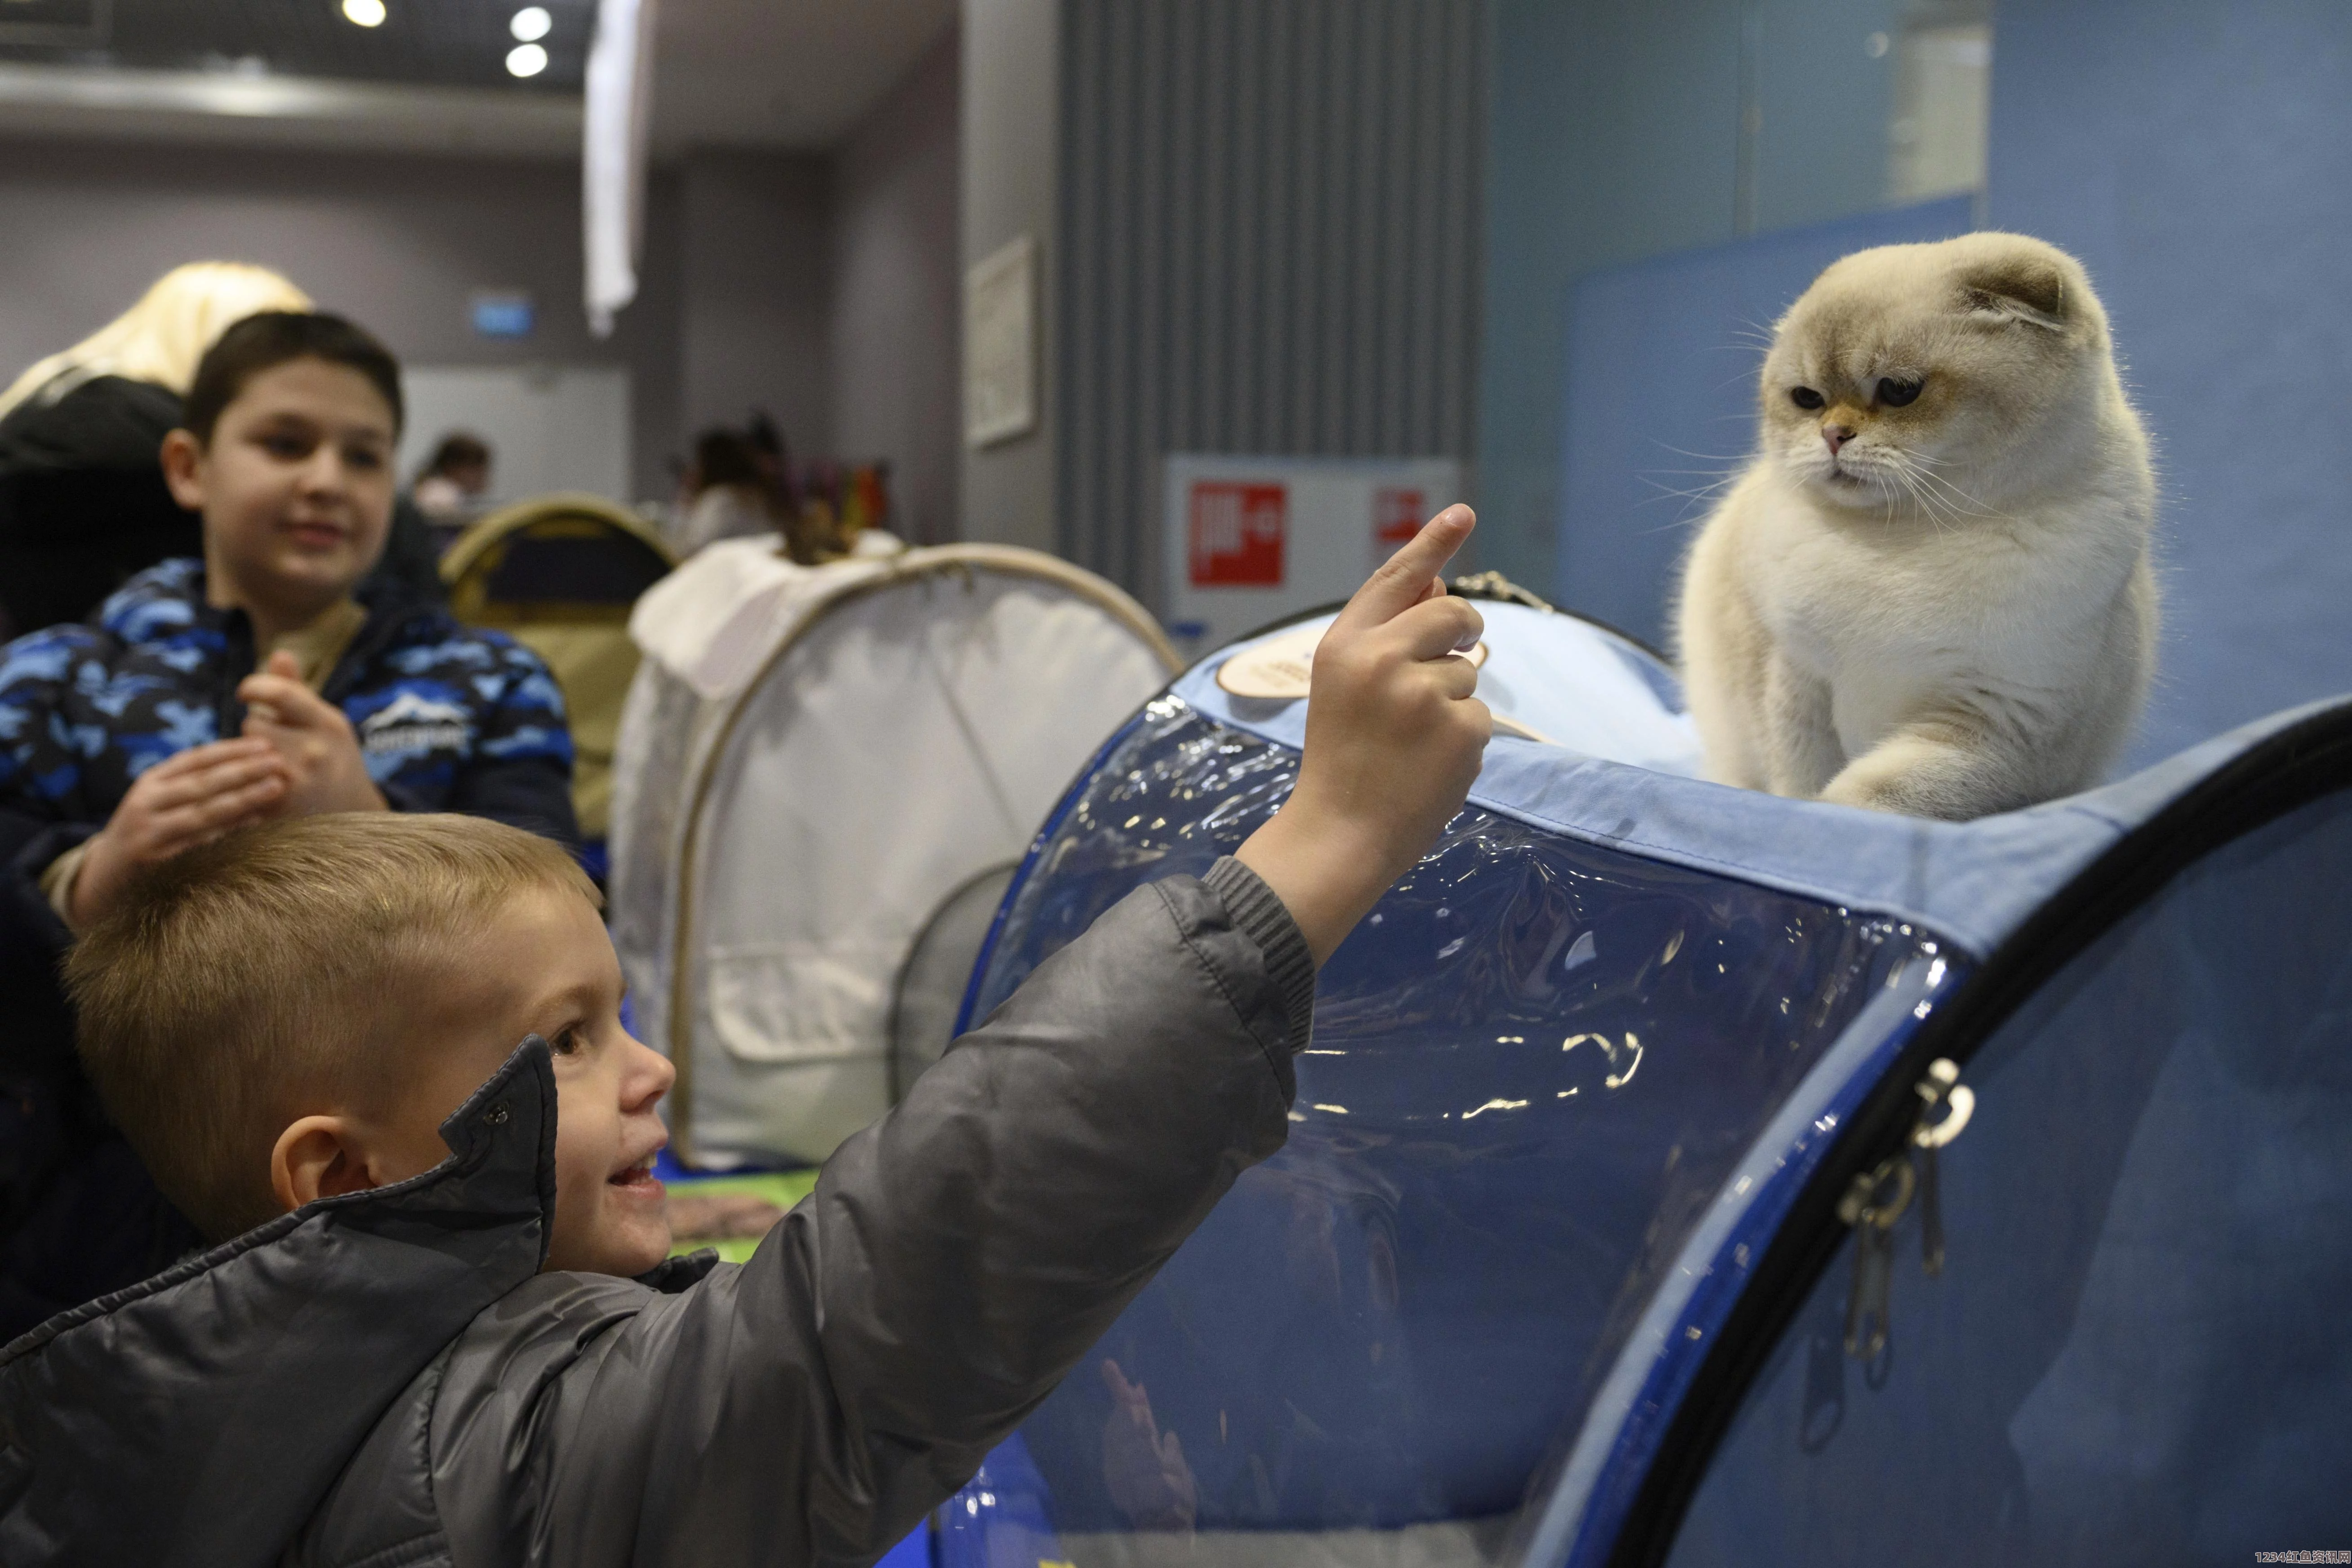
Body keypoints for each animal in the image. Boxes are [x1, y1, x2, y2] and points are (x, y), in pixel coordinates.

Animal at [1684, 232, 2154, 822]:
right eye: (1808, 399)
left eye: (1900, 391)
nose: (1832, 435)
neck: (1902, 538)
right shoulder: (1796, 681)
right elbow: (1801, 785)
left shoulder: (1998, 723)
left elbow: (1866, 798)